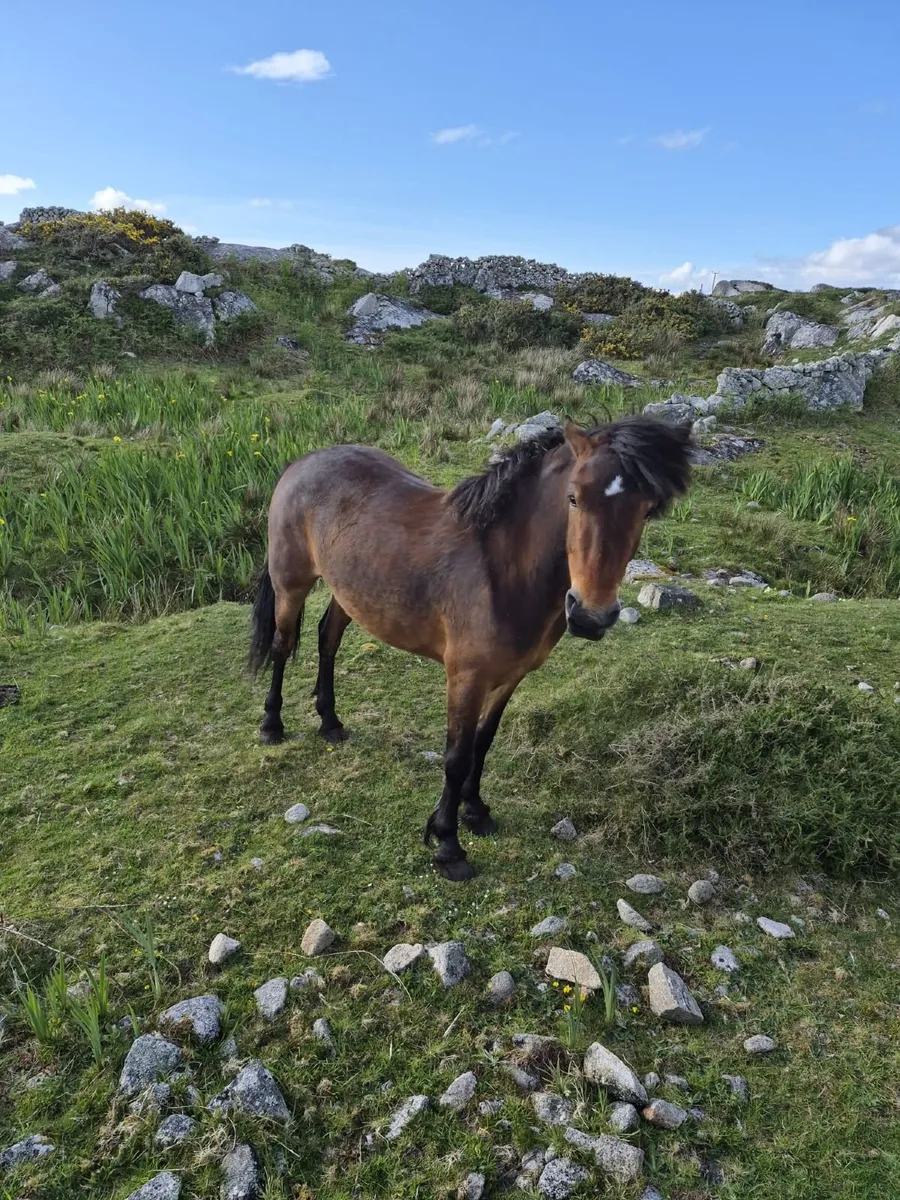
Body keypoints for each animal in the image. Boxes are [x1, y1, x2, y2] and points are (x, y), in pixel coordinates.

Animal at [248, 416, 693, 881]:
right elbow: (457, 756)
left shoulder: (510, 676)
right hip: (291, 582)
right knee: (282, 645)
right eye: (574, 498)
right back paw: (272, 725)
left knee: (327, 637)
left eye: (648, 509)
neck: (502, 570)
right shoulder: (466, 677)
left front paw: (475, 811)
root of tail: (303, 461)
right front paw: (448, 843)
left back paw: (330, 721)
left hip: (349, 591)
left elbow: (483, 742)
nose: (590, 615)